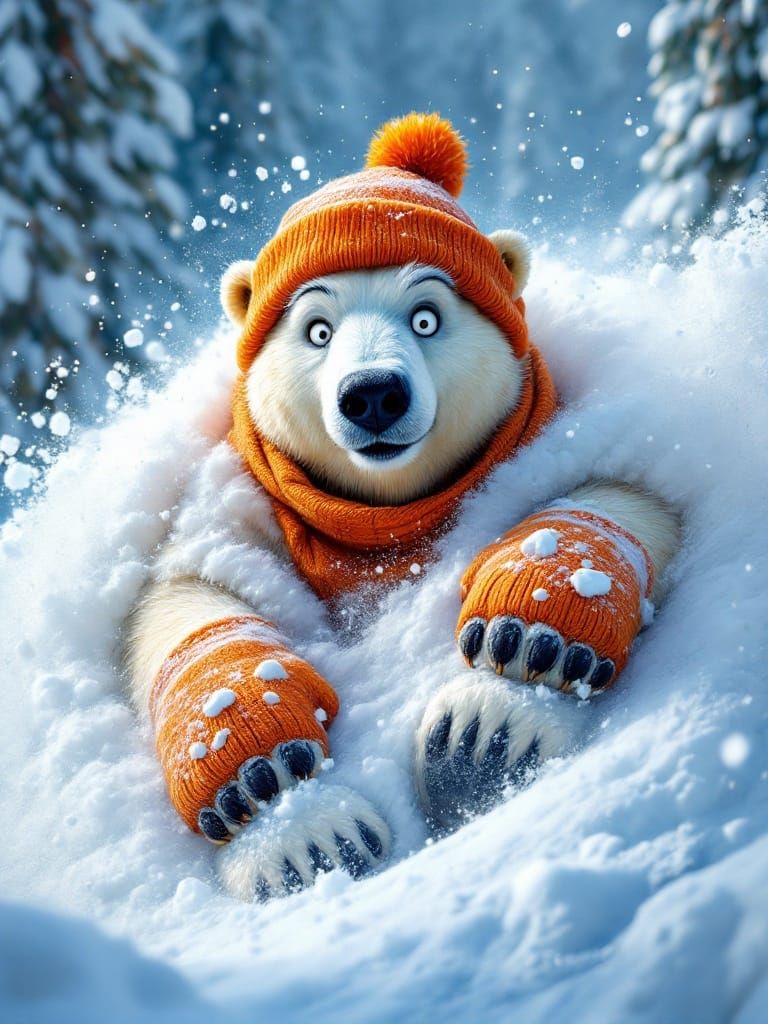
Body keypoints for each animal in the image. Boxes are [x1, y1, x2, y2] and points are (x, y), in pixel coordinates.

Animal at [125, 112, 680, 901]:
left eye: (426, 318)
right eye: (317, 330)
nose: (373, 393)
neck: (388, 519)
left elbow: (633, 490)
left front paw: (522, 654)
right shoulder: (234, 502)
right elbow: (187, 596)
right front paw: (277, 803)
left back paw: (485, 746)